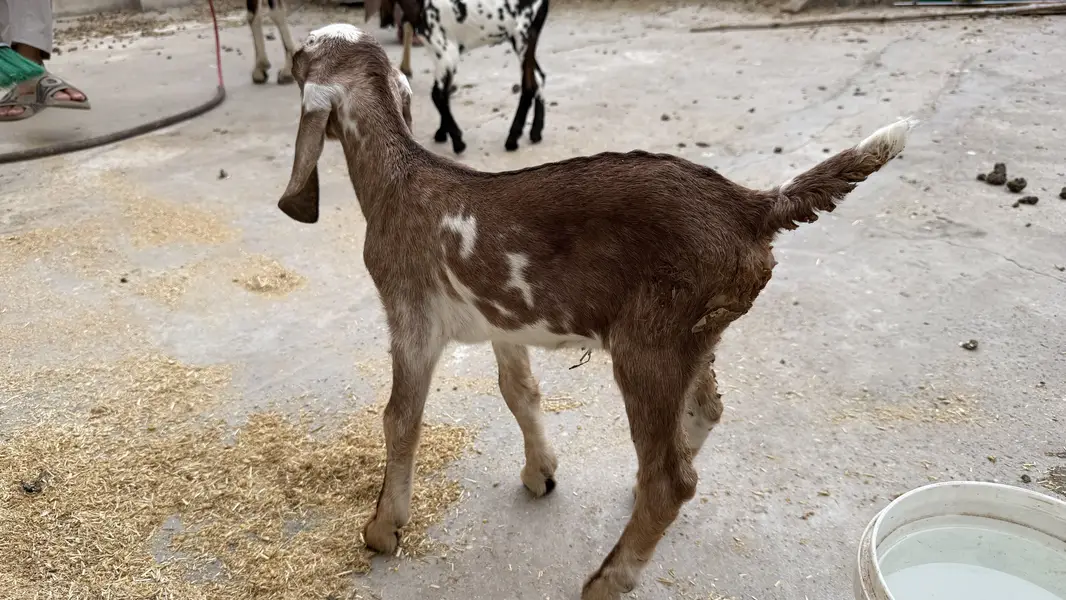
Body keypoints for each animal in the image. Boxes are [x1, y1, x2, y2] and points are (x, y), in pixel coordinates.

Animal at [276, 25, 916, 600]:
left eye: (299, 55)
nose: (287, 65)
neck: (400, 177)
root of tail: (751, 207)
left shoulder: (410, 314)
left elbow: (400, 418)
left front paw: (382, 529)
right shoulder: (504, 319)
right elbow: (520, 392)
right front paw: (540, 473)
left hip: (650, 342)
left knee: (670, 479)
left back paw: (606, 580)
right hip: (695, 336)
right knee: (705, 412)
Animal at [369, 0, 550, 154]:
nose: (384, 21)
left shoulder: (446, 52)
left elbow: (437, 94)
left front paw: (457, 141)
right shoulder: (442, 54)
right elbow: (444, 92)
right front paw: (443, 133)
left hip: (523, 33)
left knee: (529, 85)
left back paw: (513, 139)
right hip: (523, 38)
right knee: (539, 77)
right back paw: (536, 132)